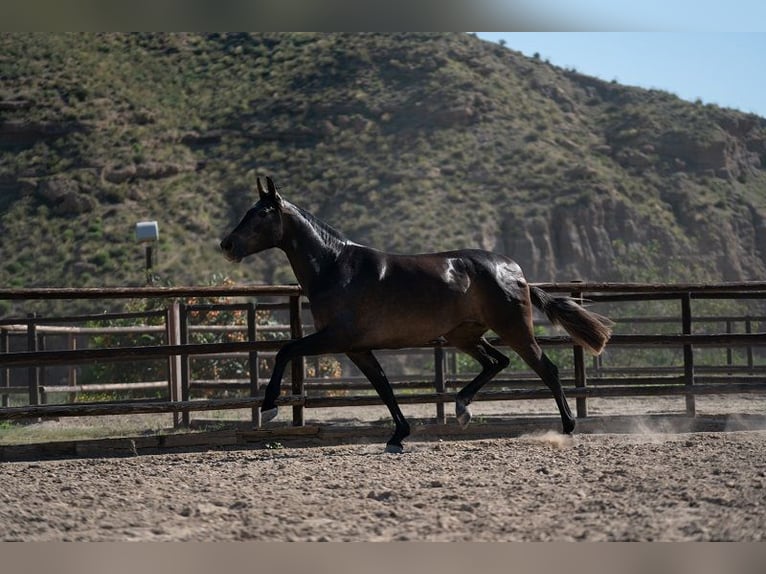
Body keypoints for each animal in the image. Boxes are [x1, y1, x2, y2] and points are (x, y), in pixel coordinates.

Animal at [220, 177, 612, 454]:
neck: (336, 267)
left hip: (513, 328)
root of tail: (514, 270)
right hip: (463, 334)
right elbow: (384, 387)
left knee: (546, 369)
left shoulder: (335, 338)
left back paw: (566, 429)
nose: (226, 245)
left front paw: (269, 409)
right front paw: (397, 436)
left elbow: (285, 350)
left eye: (260, 213)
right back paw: (462, 409)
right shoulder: (356, 348)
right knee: (496, 362)